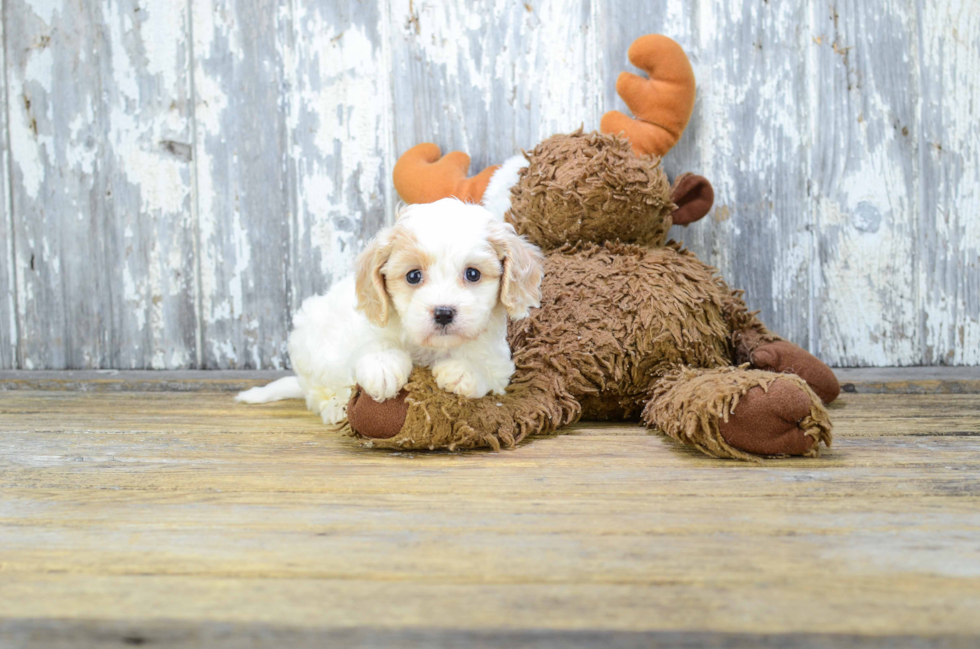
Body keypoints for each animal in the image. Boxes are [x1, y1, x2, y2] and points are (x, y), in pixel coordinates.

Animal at [236, 197, 544, 426]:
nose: (444, 313)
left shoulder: (500, 363)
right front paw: (383, 367)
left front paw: (464, 371)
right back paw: (335, 408)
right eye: (413, 276)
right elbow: (375, 344)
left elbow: (487, 371)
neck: (429, 347)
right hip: (308, 349)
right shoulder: (367, 326)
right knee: (317, 393)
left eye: (472, 274)